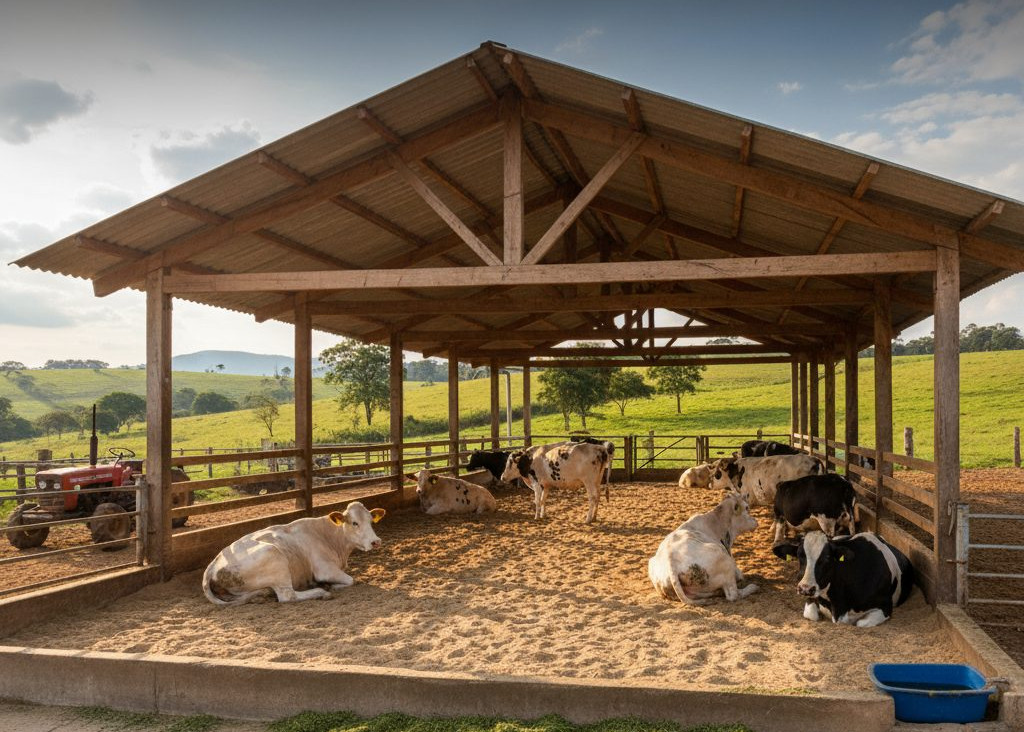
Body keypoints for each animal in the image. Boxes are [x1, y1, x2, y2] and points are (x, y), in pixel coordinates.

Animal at [202, 501, 385, 606]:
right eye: (354, 523)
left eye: (371, 521)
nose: (376, 541)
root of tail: (214, 563)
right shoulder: (325, 569)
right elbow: (351, 580)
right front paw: (331, 585)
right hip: (273, 556)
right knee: (287, 596)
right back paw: (321, 592)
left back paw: (260, 596)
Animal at [773, 530, 915, 627]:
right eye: (799, 556)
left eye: (827, 558)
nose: (805, 588)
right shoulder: (813, 598)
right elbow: (811, 615)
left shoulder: (885, 607)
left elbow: (860, 623)